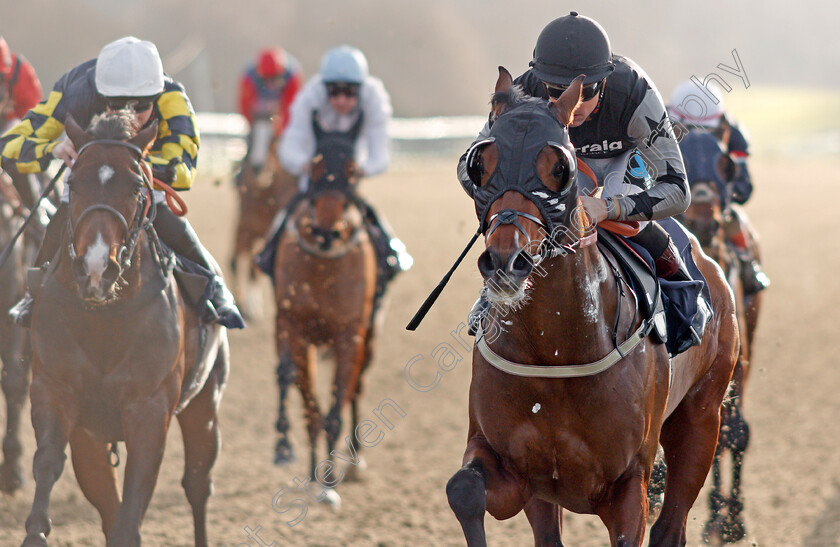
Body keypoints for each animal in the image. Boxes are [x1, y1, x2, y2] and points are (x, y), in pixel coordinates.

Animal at [21, 112, 228, 547]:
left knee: (197, 484)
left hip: (204, 405)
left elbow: (136, 494)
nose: (96, 267)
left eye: (135, 186)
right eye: (72, 182)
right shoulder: (55, 390)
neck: (105, 315)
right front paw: (36, 531)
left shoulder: (149, 407)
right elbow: (48, 461)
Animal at [230, 115, 296, 322]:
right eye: (250, 136)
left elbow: (255, 266)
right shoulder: (245, 227)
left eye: (273, 139)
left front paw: (254, 308)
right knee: (235, 259)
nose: (259, 169)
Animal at [272, 126, 378, 504]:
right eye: (314, 167)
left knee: (358, 386)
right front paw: (302, 460)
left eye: (353, 170)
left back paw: (356, 459)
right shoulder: (293, 328)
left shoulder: (350, 335)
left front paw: (330, 482)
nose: (326, 232)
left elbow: (337, 403)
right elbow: (302, 395)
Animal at [450, 69, 740, 547]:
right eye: (480, 165)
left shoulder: (627, 487)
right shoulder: (515, 469)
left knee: (671, 523)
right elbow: (464, 489)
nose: (507, 261)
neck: (553, 351)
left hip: (702, 418)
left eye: (559, 168)